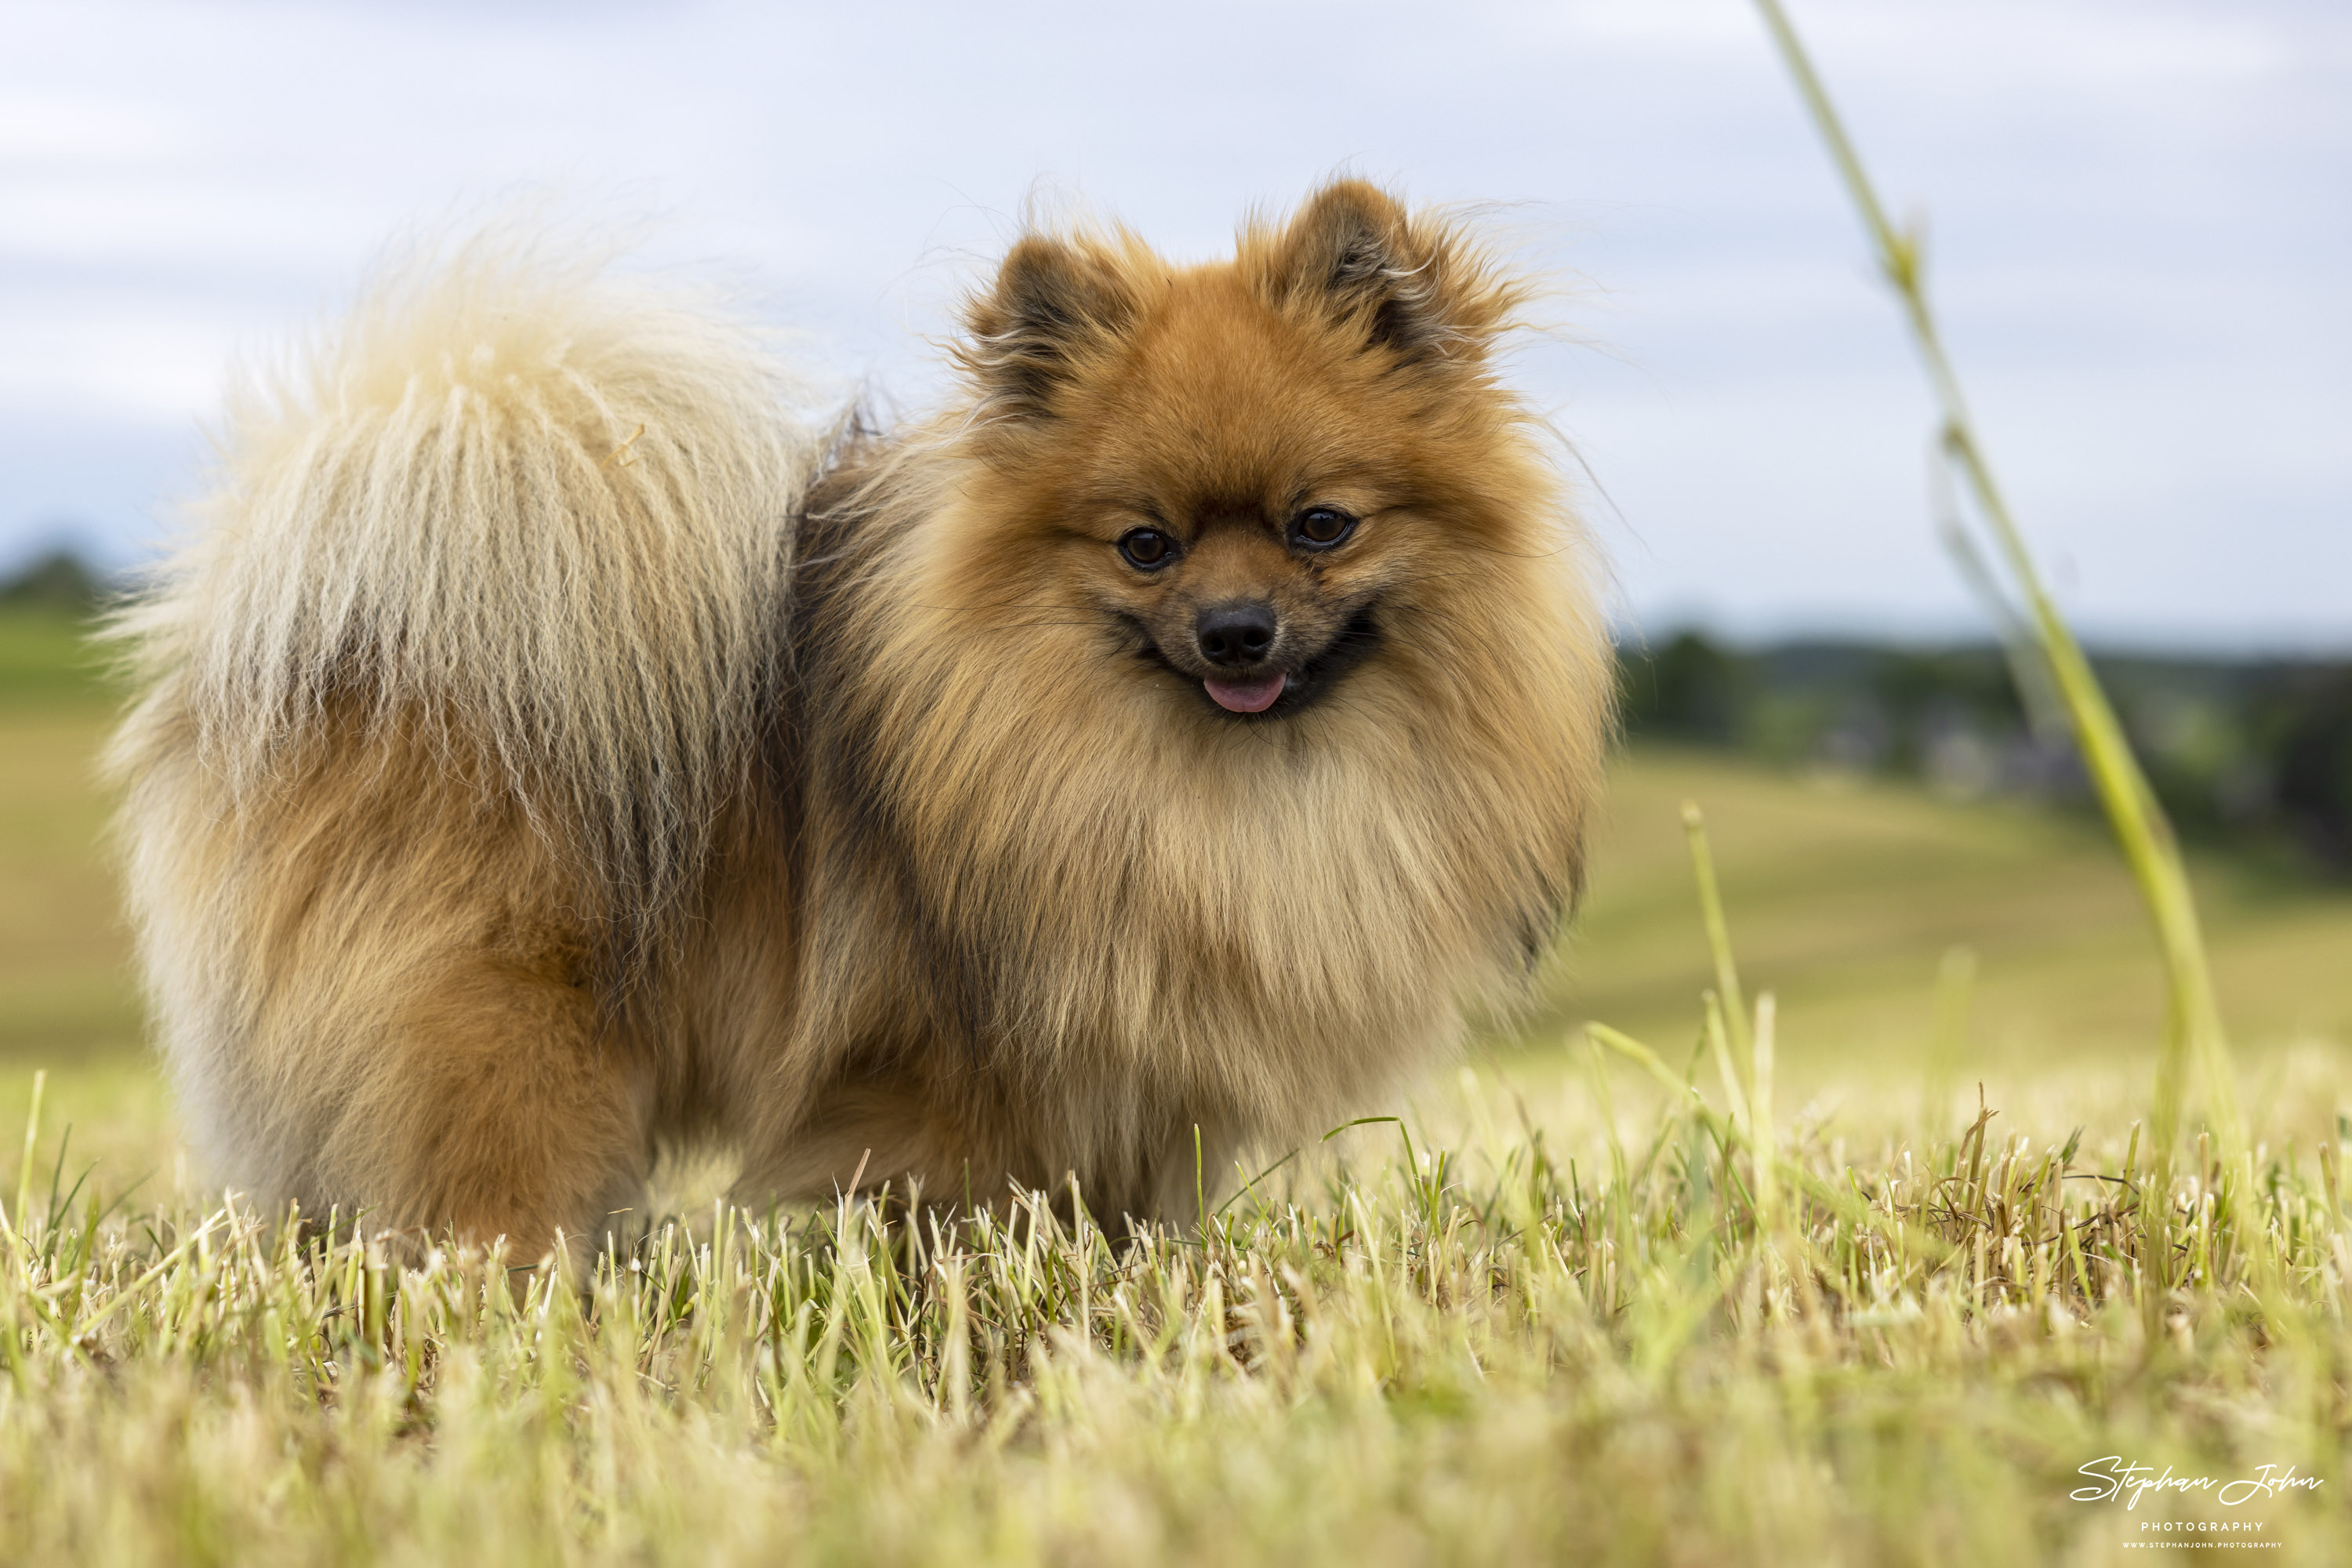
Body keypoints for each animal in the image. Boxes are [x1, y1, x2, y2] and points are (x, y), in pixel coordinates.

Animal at [111, 180, 1618, 1250]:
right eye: (1145, 547)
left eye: (1321, 527)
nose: (1235, 631)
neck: (1208, 785)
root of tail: (344, 639)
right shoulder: (930, 1078)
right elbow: (950, 1208)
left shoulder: (1138, 1077)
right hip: (502, 1035)